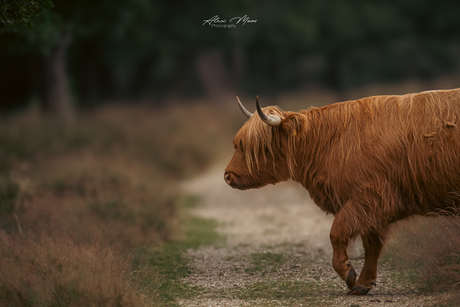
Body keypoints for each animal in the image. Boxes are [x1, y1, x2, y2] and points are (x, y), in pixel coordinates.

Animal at [225, 89, 460, 296]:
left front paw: (349, 274)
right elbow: (371, 245)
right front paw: (362, 284)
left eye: (249, 147)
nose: (227, 175)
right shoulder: (369, 209)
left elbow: (337, 233)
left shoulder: (369, 198)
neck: (329, 143)